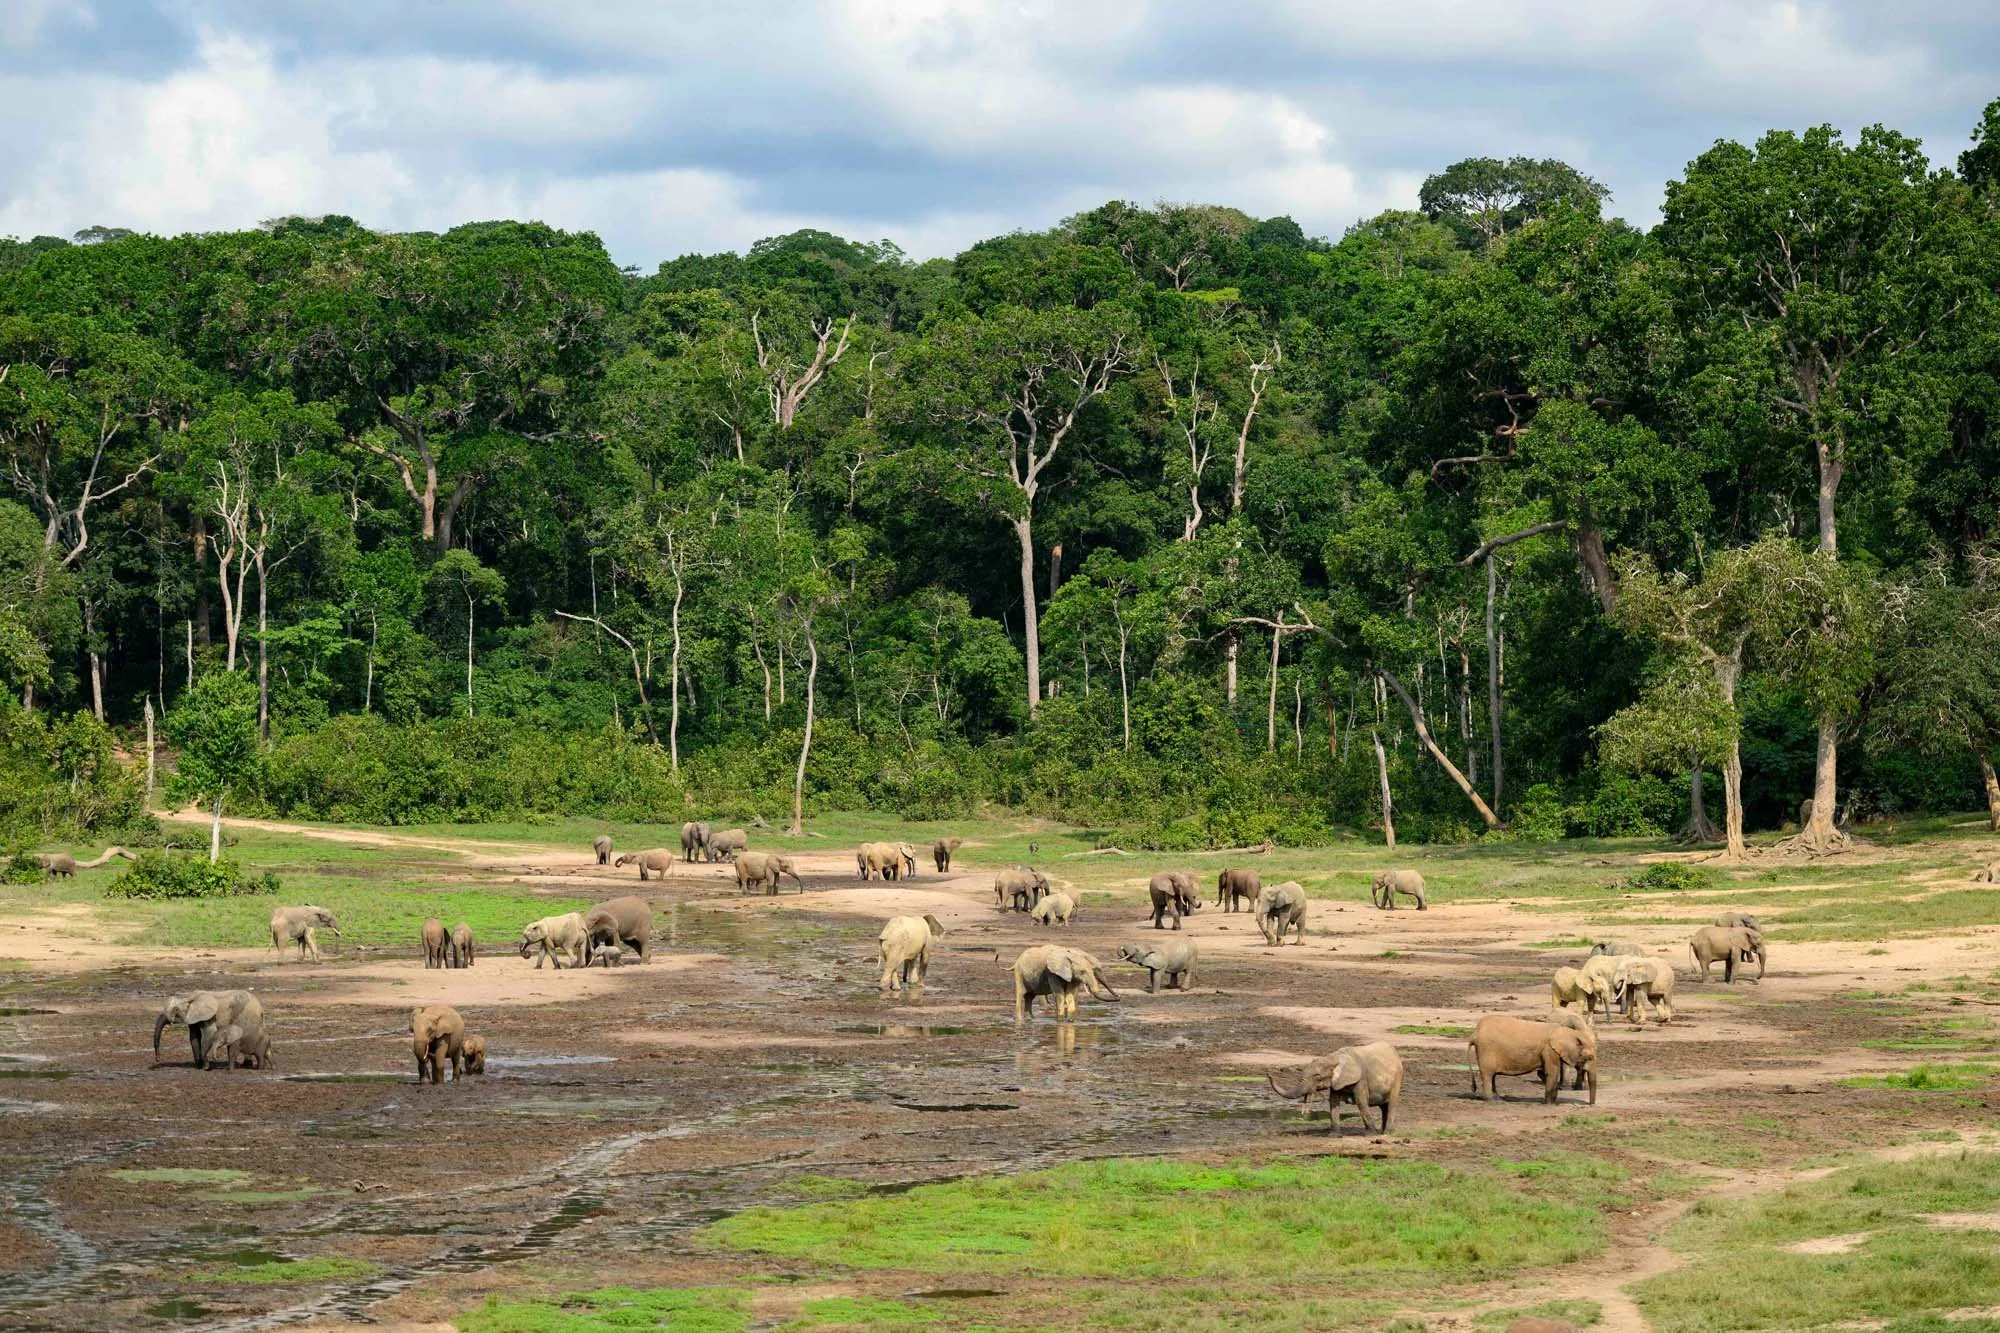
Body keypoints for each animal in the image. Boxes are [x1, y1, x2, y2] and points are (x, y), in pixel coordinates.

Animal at [1268, 1042, 1404, 1134]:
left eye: (1317, 1076)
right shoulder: (1336, 1081)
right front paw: (1333, 1135)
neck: (1333, 1058)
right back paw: (1382, 1131)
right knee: (1384, 1107)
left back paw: (1386, 1133)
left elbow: (1361, 1102)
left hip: (1397, 1078)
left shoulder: (1361, 1079)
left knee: (1391, 1104)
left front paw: (1371, 1134)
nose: (1269, 1074)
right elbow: (1333, 1102)